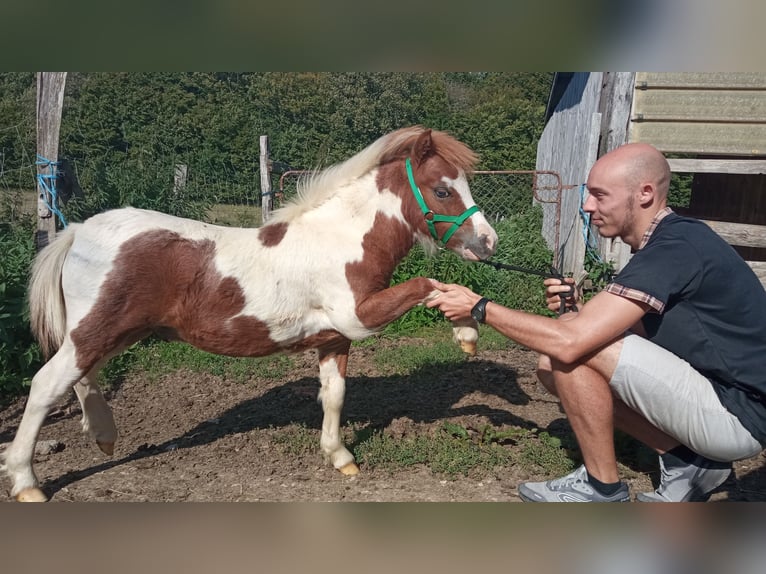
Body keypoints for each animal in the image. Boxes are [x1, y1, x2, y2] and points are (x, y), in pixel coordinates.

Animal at [2, 126, 498, 501]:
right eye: (442, 189)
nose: (488, 242)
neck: (342, 239)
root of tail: (78, 230)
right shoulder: (359, 317)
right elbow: (427, 286)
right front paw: (466, 333)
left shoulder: (335, 338)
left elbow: (334, 396)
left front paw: (340, 458)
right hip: (96, 331)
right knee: (47, 385)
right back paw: (27, 483)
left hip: (111, 332)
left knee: (83, 378)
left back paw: (103, 435)